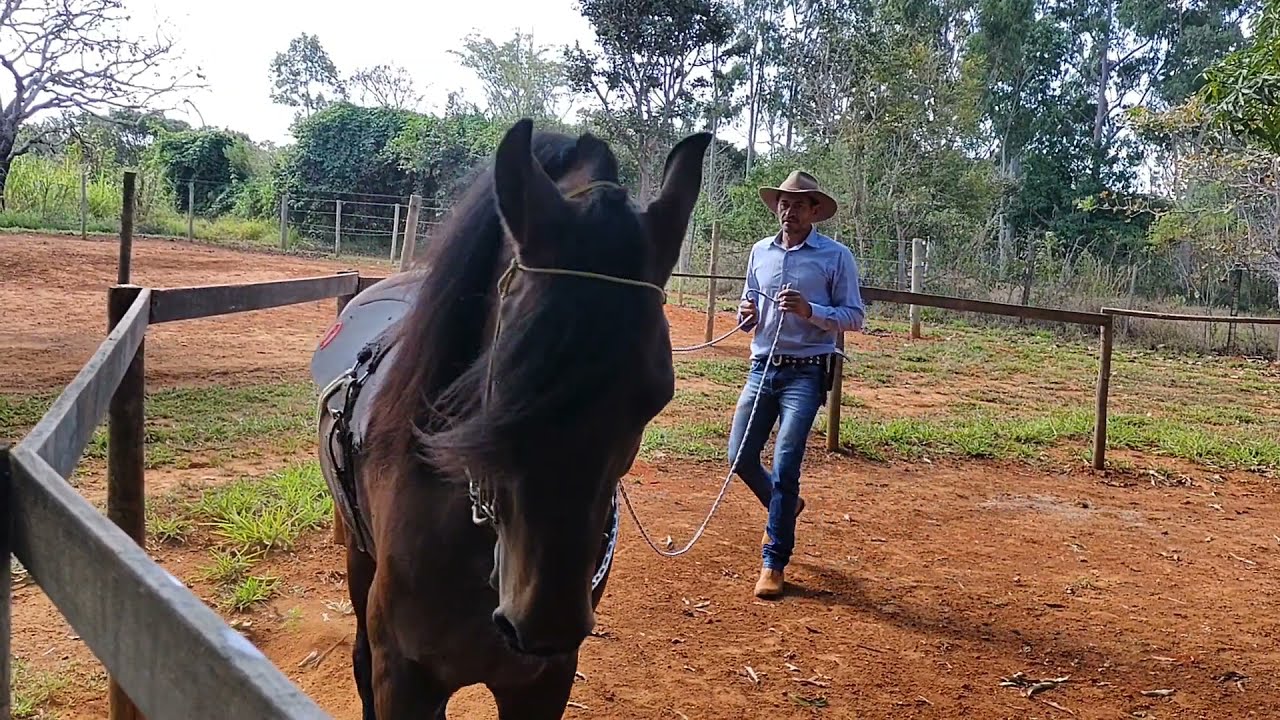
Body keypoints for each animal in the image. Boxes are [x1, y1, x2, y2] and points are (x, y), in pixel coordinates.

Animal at [312, 118, 712, 718]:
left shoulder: (542, 683)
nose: (544, 620)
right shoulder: (405, 678)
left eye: (656, 396)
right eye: (500, 379)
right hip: (357, 554)